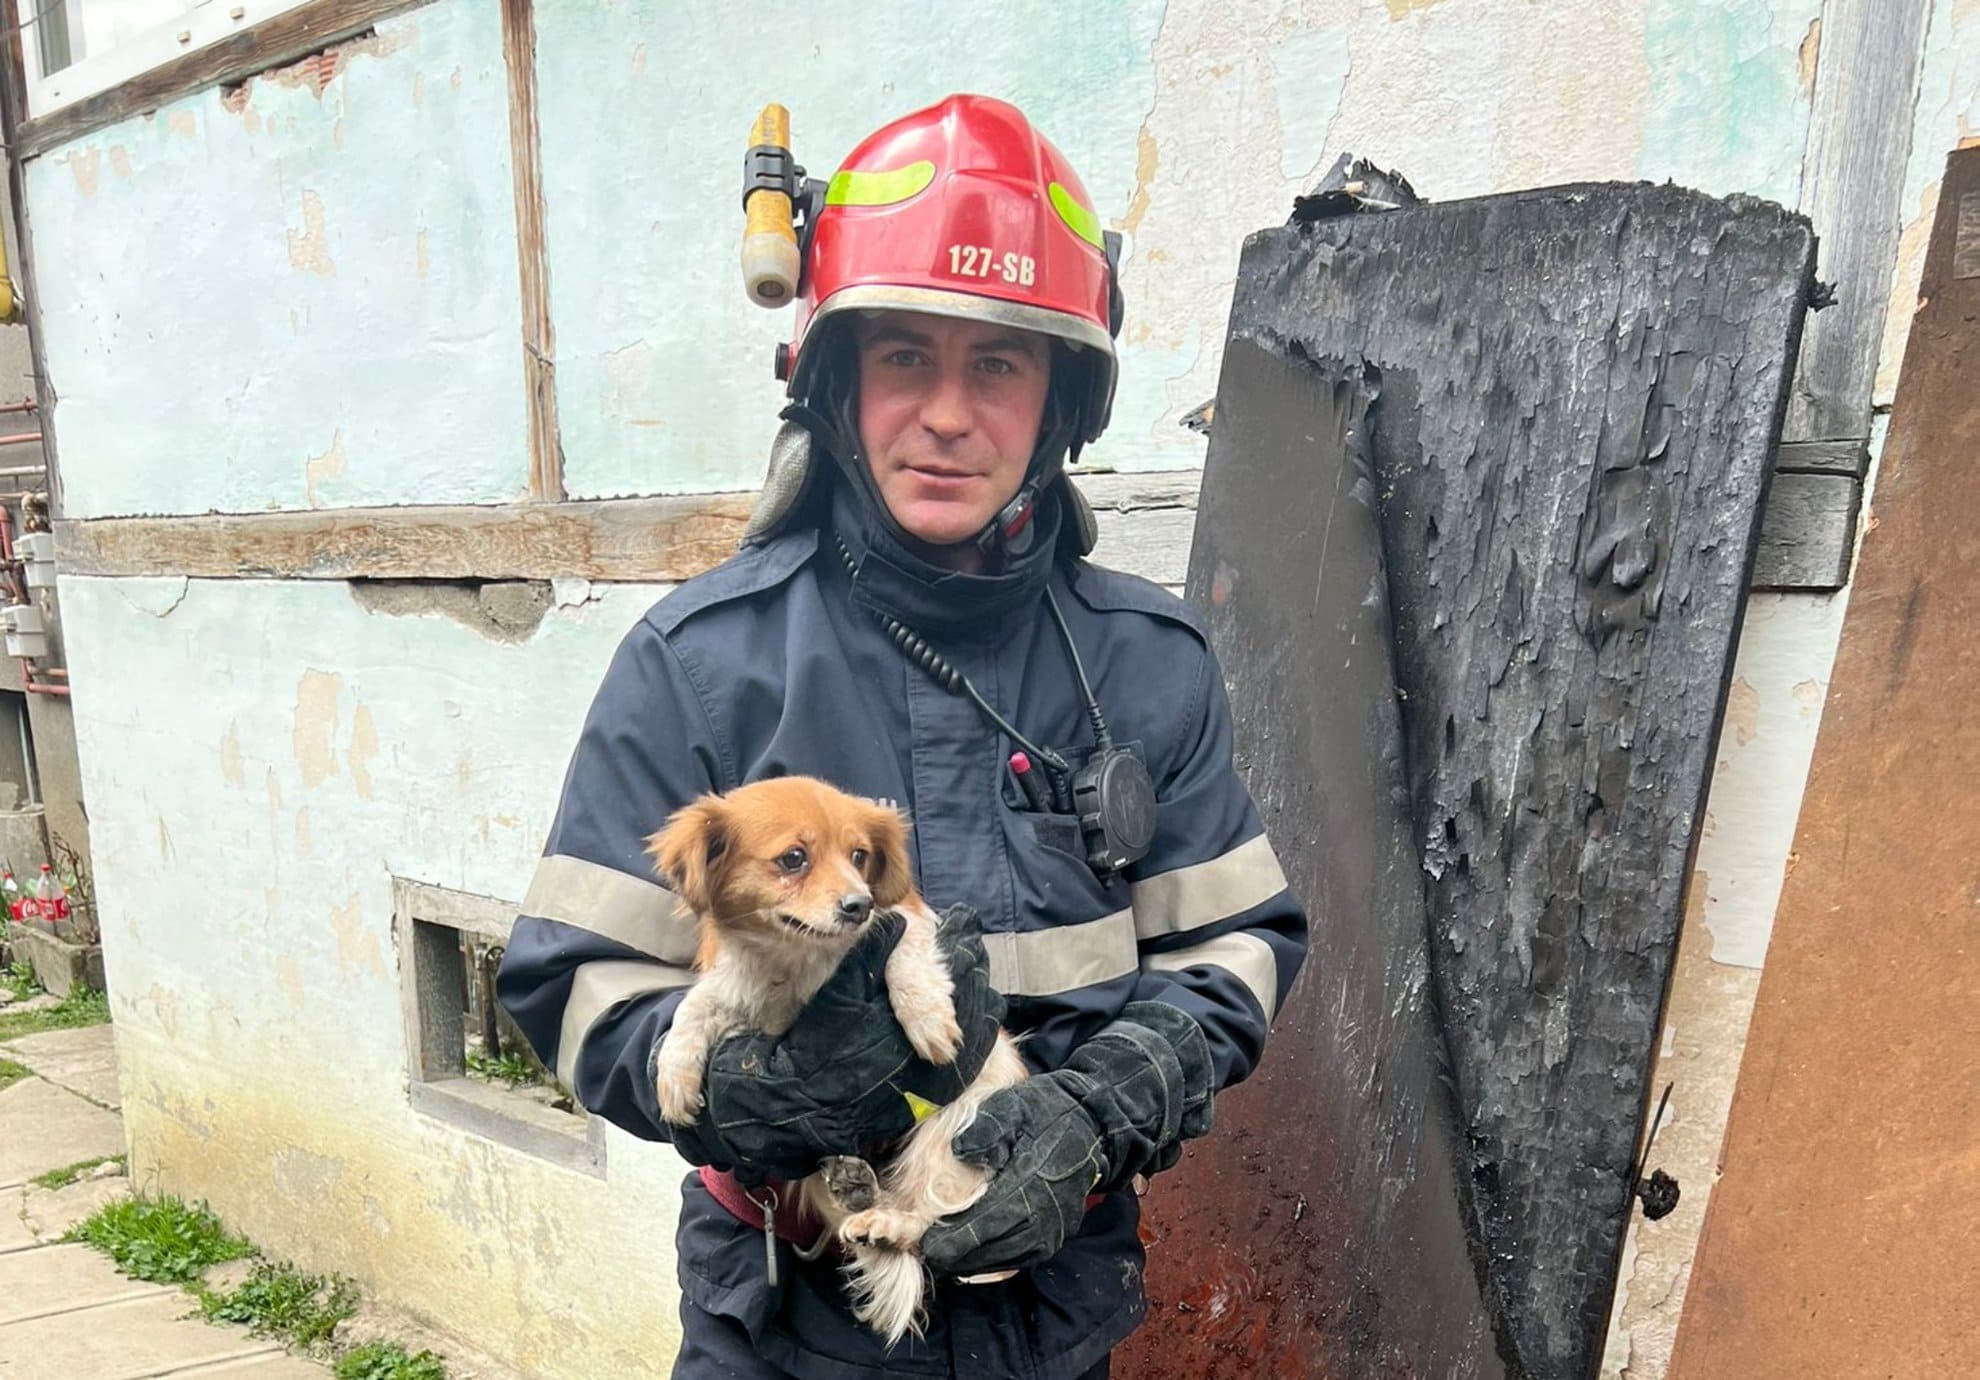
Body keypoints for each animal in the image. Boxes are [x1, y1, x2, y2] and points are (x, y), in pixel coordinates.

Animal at [649, 776, 1029, 1346]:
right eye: (794, 858)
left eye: (859, 855)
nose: (859, 903)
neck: (798, 959)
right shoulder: (744, 991)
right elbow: (697, 1004)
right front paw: (674, 1073)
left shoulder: (905, 923)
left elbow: (904, 947)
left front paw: (927, 1014)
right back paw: (854, 1188)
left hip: (961, 1123)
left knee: (935, 1215)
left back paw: (890, 1222)